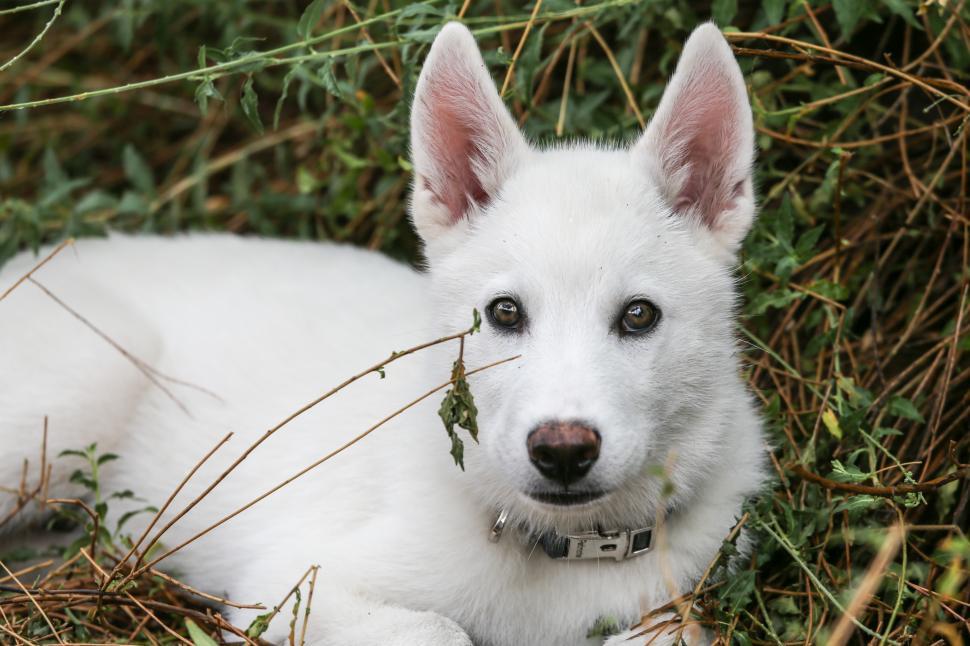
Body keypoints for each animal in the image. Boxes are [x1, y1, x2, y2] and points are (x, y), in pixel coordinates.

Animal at [1, 21, 764, 646]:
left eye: (638, 315)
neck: (563, 547)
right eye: (504, 313)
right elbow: (439, 630)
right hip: (79, 392)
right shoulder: (289, 587)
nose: (563, 452)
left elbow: (677, 630)